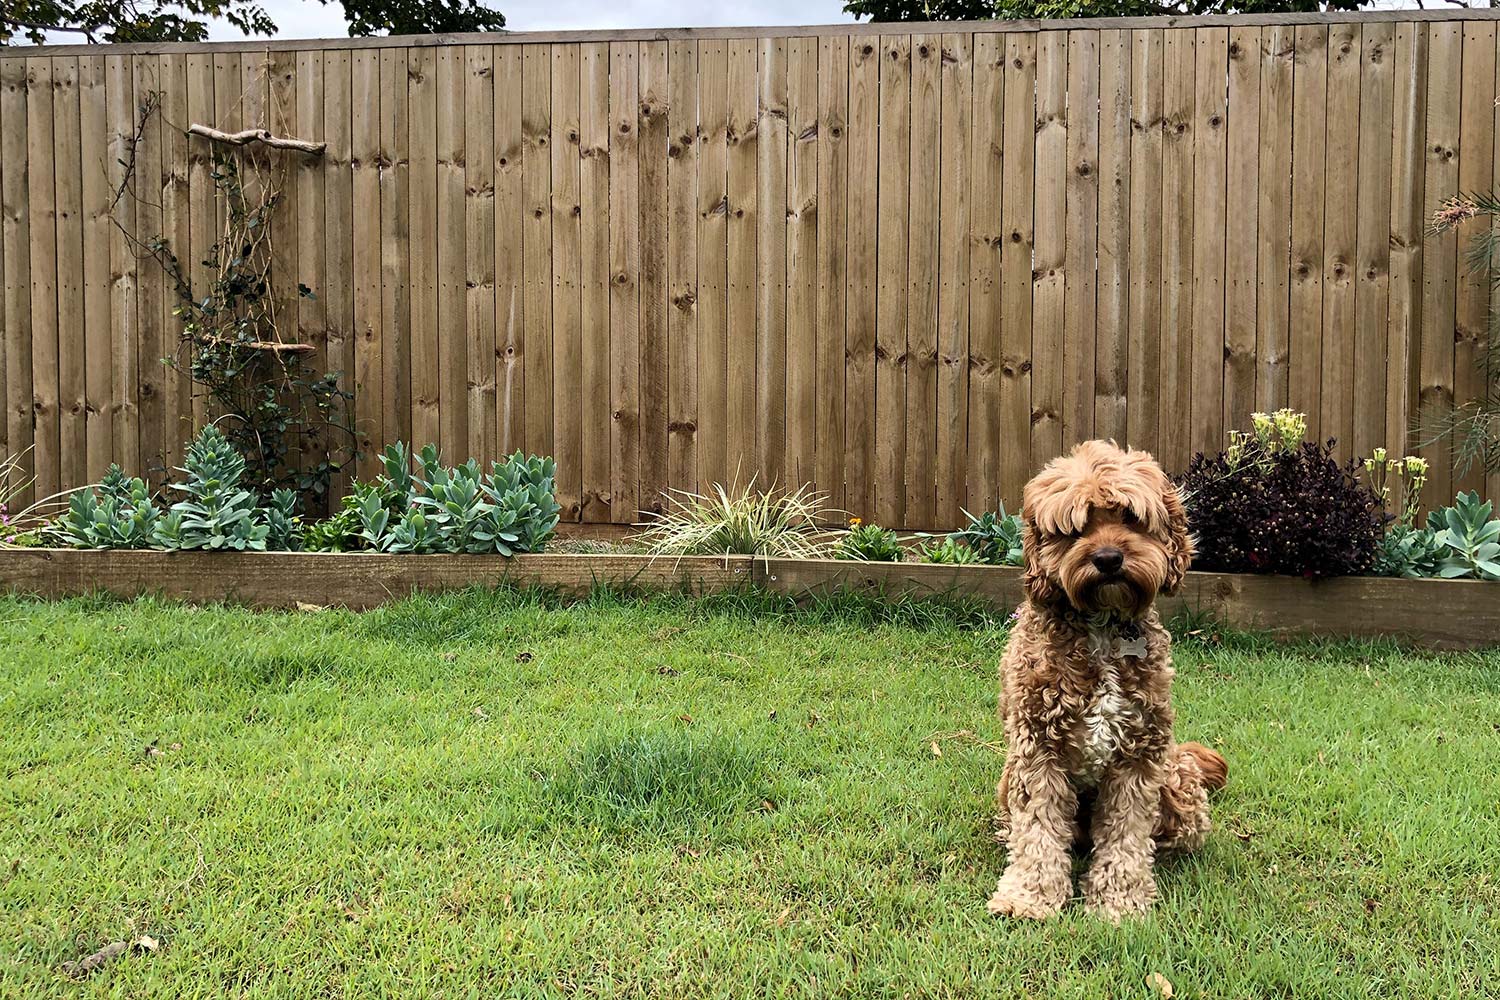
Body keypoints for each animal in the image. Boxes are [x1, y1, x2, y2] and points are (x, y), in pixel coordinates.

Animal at [984, 440, 1230, 929]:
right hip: (1007, 777)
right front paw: (1028, 898)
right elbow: (1037, 830)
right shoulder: (1037, 751)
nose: (1109, 559)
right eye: (1076, 528)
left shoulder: (1139, 756)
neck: (1101, 626)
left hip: (1179, 783)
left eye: (1131, 517)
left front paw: (1120, 903)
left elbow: (1127, 836)